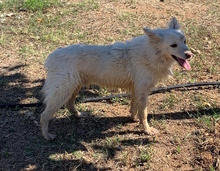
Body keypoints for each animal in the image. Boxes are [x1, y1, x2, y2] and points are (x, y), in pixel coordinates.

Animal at [40, 17, 192, 140]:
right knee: (44, 115)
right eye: (173, 45)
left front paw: (132, 118)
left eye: (185, 41)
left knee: (69, 104)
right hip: (62, 91)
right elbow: (144, 113)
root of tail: (51, 57)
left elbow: (134, 107)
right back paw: (47, 136)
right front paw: (147, 130)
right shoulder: (142, 91)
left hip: (73, 87)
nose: (189, 54)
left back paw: (78, 114)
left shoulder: (136, 89)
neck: (151, 53)